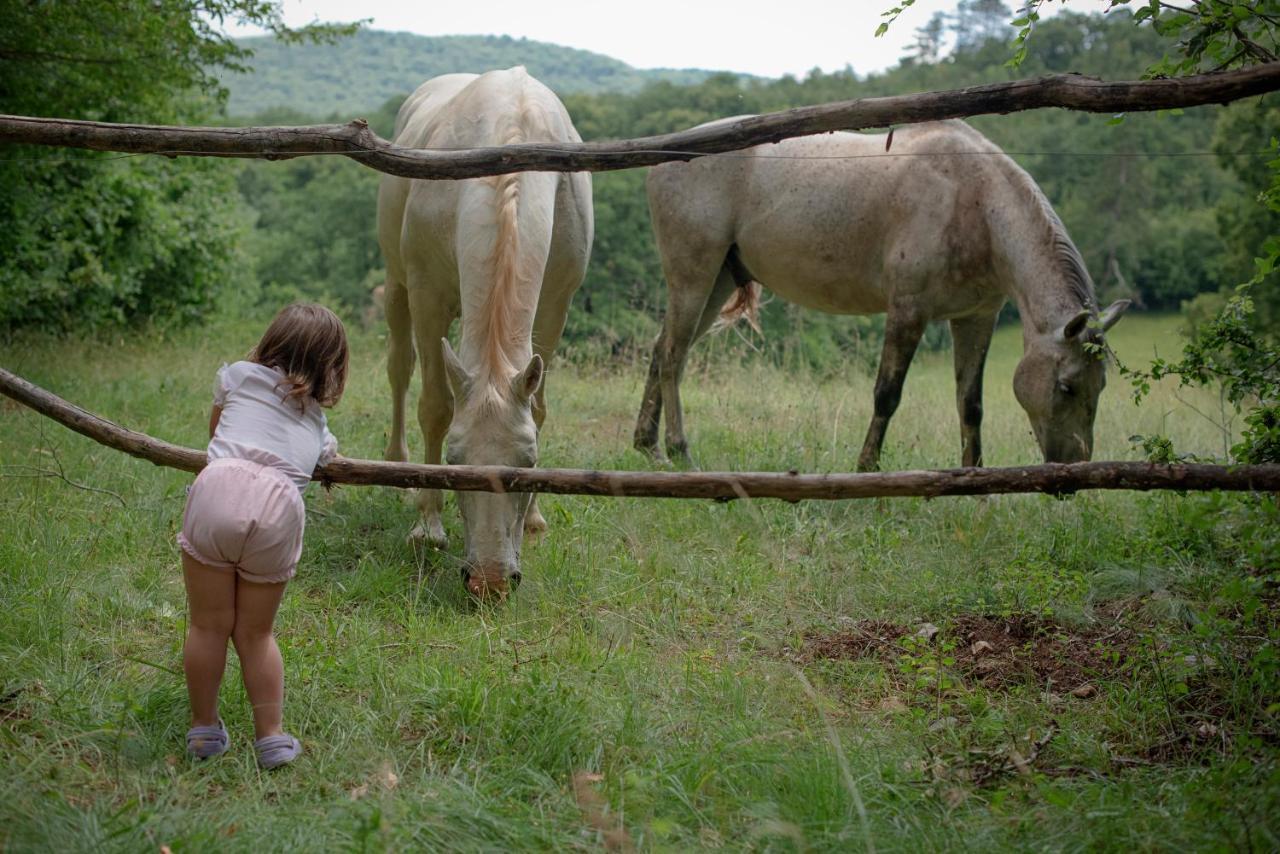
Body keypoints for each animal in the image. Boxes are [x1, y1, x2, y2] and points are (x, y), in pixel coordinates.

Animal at [378, 70, 593, 599]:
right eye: (455, 464)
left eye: (529, 464)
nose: (490, 582)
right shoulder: (428, 294)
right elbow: (435, 406)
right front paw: (428, 525)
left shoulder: (555, 305)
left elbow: (539, 408)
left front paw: (534, 520)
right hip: (396, 286)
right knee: (400, 370)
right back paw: (399, 471)